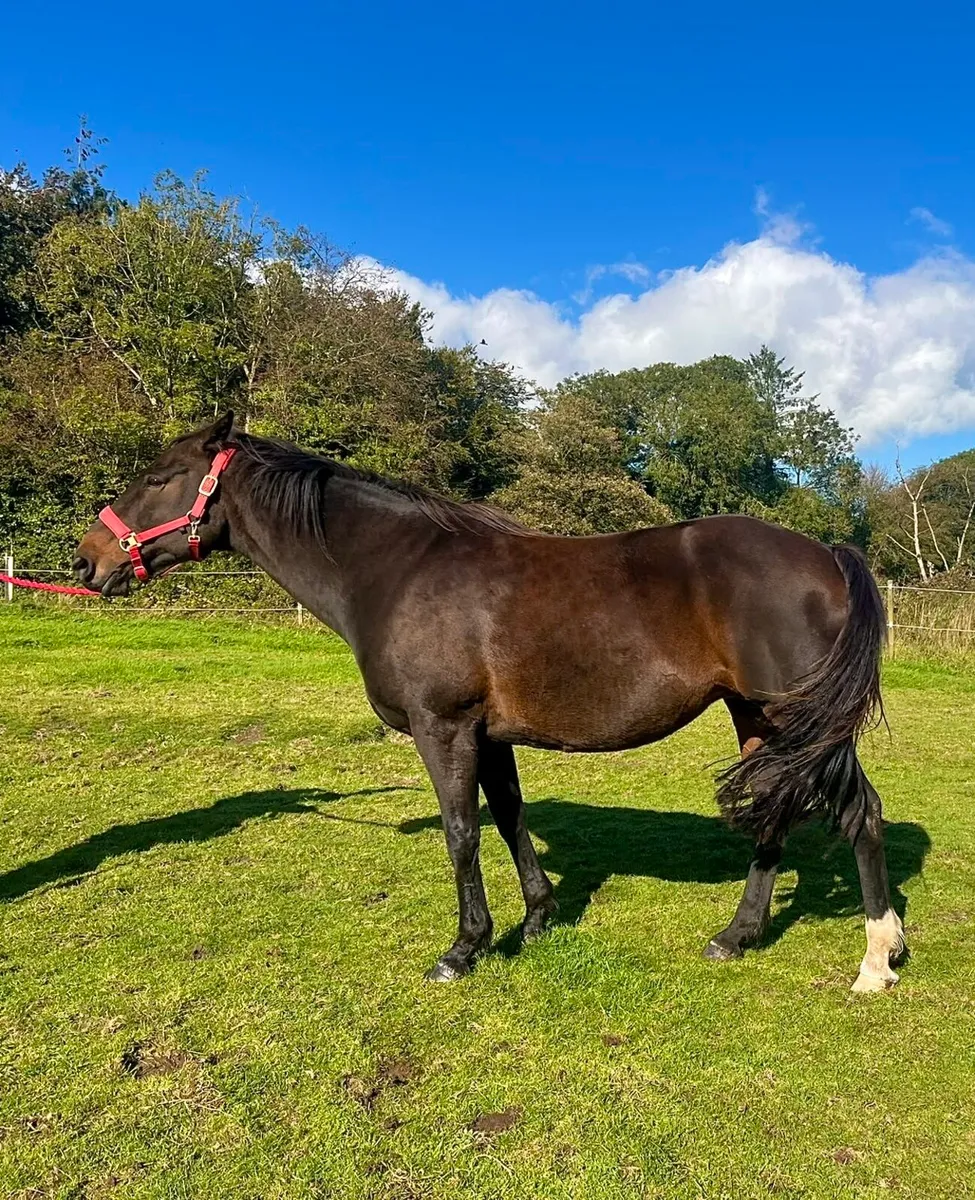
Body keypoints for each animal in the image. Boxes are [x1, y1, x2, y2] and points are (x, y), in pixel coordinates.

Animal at [74, 412, 905, 992]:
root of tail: (826, 554)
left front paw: (464, 948)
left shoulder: (442, 729)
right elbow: (508, 817)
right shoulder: (490, 733)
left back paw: (876, 958)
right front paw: (537, 919)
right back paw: (736, 936)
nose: (88, 560)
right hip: (756, 718)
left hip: (800, 722)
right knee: (773, 814)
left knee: (860, 814)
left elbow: (461, 834)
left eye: (160, 475)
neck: (399, 569)